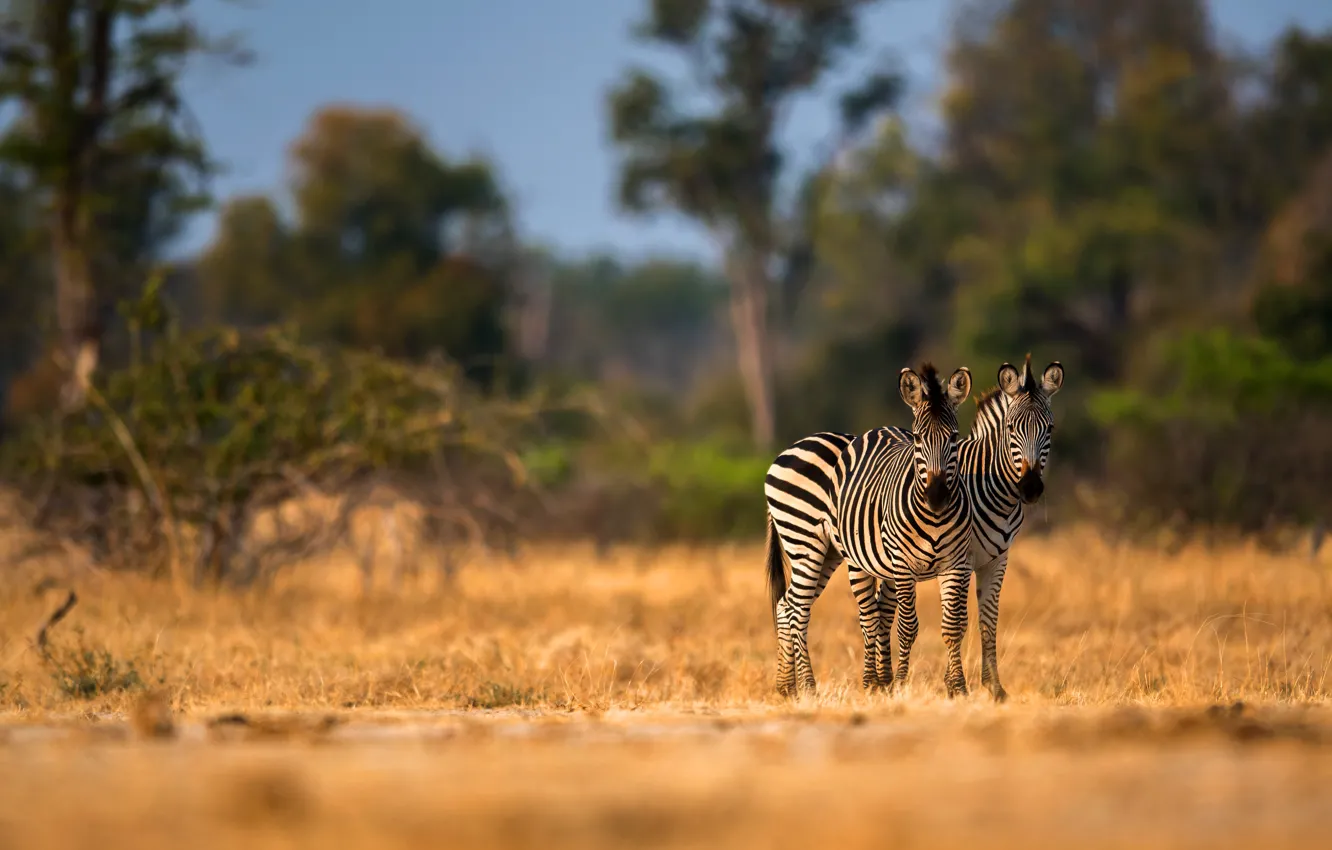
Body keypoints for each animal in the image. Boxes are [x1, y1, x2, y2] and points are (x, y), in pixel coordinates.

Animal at [765, 363, 973, 697]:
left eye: (954, 438)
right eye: (918, 438)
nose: (937, 496)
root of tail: (791, 448)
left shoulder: (957, 563)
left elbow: (952, 624)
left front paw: (958, 688)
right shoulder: (902, 564)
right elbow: (907, 625)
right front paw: (900, 683)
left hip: (830, 553)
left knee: (786, 604)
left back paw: (787, 686)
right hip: (804, 541)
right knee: (798, 609)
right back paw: (808, 685)